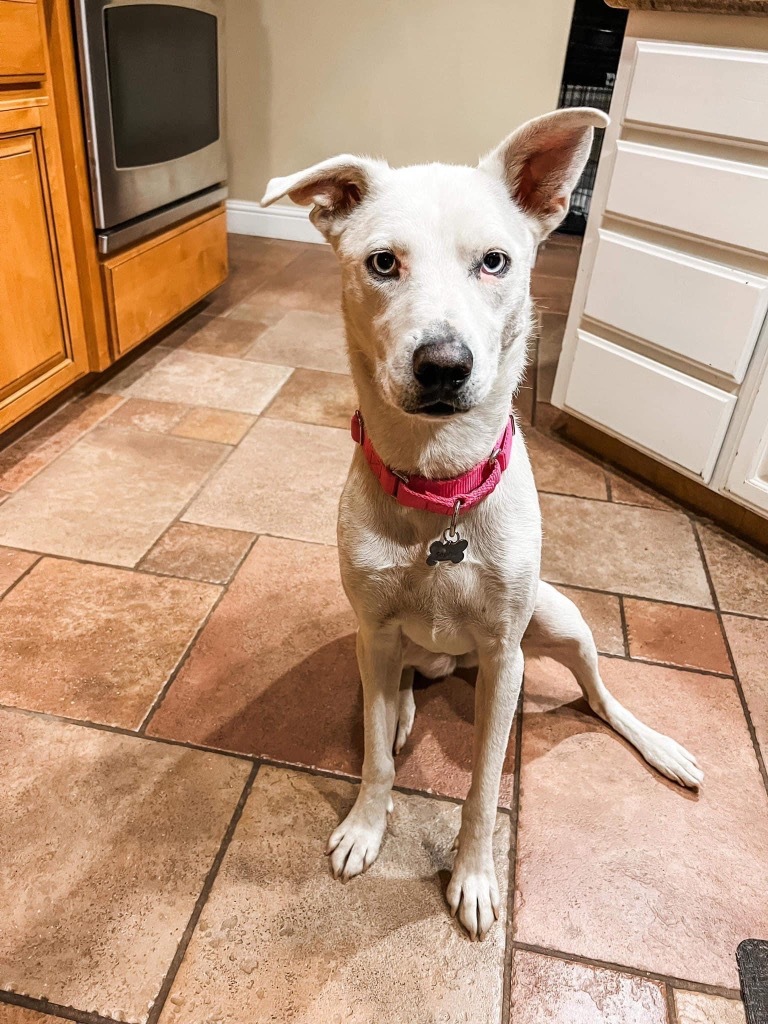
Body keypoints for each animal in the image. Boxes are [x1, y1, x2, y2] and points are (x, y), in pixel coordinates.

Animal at [264, 108, 704, 937]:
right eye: (381, 263)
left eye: (495, 262)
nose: (443, 365)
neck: (443, 487)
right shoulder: (373, 628)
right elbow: (375, 758)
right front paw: (365, 826)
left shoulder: (505, 658)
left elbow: (483, 786)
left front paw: (472, 877)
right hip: (383, 642)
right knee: (398, 682)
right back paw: (405, 707)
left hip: (559, 620)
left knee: (601, 695)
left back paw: (660, 747)